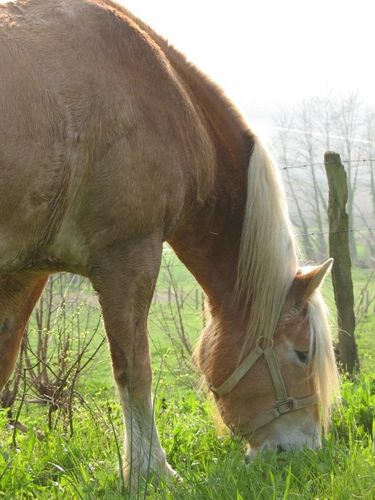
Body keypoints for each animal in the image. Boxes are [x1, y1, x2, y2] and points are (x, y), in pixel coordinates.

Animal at [0, 0, 340, 488]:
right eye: (303, 353)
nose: (301, 450)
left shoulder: (24, 273)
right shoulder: (128, 258)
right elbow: (135, 371)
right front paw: (150, 470)